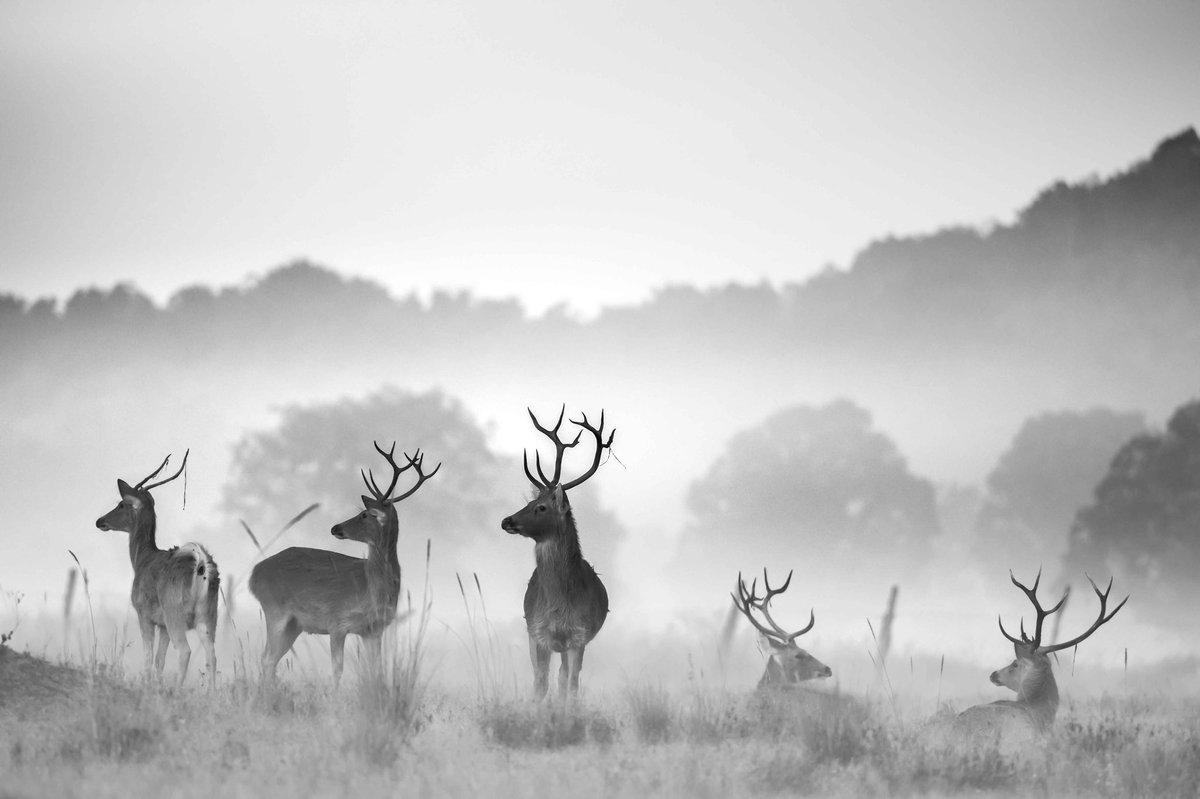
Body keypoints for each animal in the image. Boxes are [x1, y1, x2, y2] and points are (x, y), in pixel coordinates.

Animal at [95, 450, 220, 686]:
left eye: (121, 504)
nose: (100, 521)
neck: (142, 559)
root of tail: (200, 562)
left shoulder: (144, 615)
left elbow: (147, 658)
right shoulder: (162, 626)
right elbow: (159, 661)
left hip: (175, 614)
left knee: (185, 651)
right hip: (208, 617)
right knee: (212, 656)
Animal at [248, 442, 438, 685]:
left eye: (365, 514)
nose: (335, 528)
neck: (371, 589)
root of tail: (254, 574)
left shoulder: (374, 630)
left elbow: (376, 671)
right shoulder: (337, 621)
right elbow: (337, 669)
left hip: (293, 624)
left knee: (270, 660)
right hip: (275, 610)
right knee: (266, 659)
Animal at [500, 406, 614, 700]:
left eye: (540, 507)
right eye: (529, 501)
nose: (506, 521)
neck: (559, 606)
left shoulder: (579, 635)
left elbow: (571, 684)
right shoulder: (538, 632)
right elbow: (540, 684)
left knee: (564, 678)